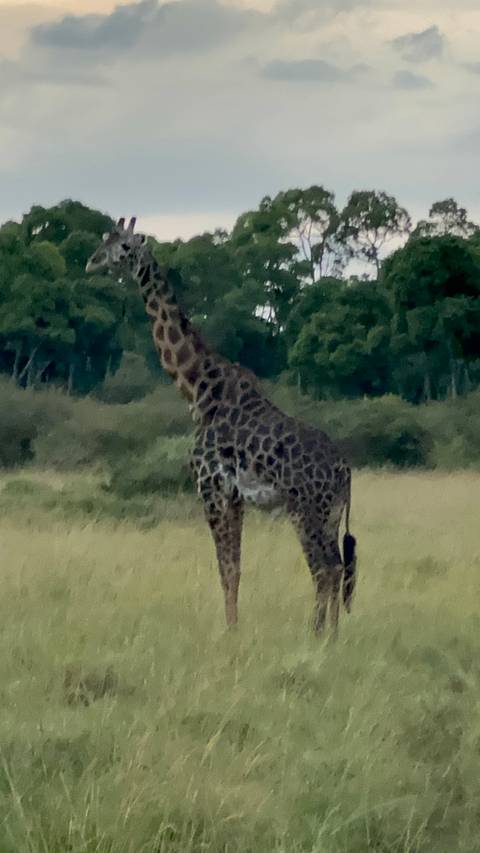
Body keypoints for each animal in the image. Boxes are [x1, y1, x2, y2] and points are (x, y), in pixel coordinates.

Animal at [86, 218, 357, 635]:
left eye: (123, 246)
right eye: (105, 241)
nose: (91, 262)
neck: (198, 388)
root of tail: (344, 469)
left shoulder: (209, 488)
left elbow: (225, 569)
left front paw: (228, 632)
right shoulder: (235, 496)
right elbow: (236, 569)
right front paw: (234, 627)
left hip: (305, 508)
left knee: (323, 569)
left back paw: (317, 635)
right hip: (329, 513)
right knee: (338, 568)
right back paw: (334, 636)